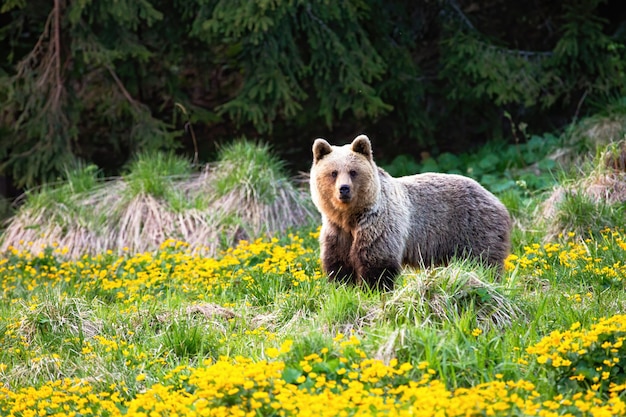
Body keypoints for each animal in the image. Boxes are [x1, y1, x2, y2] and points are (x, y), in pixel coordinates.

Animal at [310, 135, 510, 290]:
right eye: (333, 172)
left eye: (353, 171)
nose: (344, 189)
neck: (351, 216)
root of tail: (496, 200)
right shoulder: (337, 231)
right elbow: (339, 263)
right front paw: (343, 286)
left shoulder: (379, 225)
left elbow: (377, 262)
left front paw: (372, 289)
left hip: (473, 228)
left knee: (483, 261)